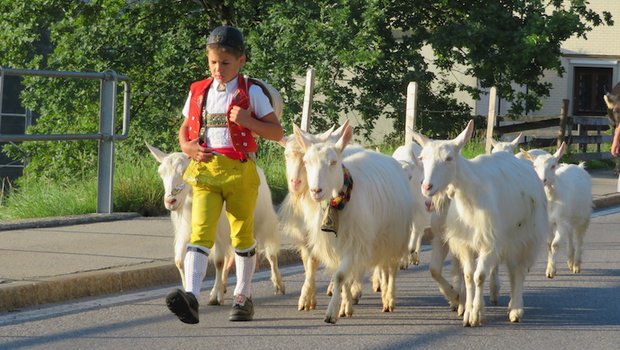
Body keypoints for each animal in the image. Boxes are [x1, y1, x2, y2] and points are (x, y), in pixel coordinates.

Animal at [147, 144, 284, 304]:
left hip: (261, 222)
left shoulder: (219, 232)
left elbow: (218, 261)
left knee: (269, 253)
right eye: (161, 173)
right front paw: (188, 291)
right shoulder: (186, 231)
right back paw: (229, 286)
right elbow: (179, 260)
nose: (170, 201)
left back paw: (277, 285)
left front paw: (215, 296)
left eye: (184, 171)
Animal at [294, 121, 412, 324]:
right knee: (382, 267)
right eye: (307, 162)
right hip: (379, 240)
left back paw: (389, 299)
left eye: (333, 162)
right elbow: (344, 278)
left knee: (391, 268)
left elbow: (340, 276)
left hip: (395, 237)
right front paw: (345, 307)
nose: (316, 191)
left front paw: (331, 313)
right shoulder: (339, 246)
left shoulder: (355, 243)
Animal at [412, 121, 548, 328]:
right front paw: (466, 310)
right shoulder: (463, 241)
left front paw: (475, 313)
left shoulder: (489, 241)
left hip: (525, 236)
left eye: (449, 158)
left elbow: (479, 276)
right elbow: (468, 275)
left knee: (518, 270)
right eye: (422, 158)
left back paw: (515, 308)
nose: (427, 187)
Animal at [524, 141, 592, 278]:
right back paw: (570, 261)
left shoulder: (561, 221)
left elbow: (555, 245)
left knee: (579, 238)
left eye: (553, 166)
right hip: (569, 218)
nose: (542, 180)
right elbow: (549, 245)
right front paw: (550, 268)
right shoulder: (549, 223)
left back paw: (576, 265)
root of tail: (579, 166)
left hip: (583, 216)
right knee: (570, 235)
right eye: (534, 166)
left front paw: (551, 271)